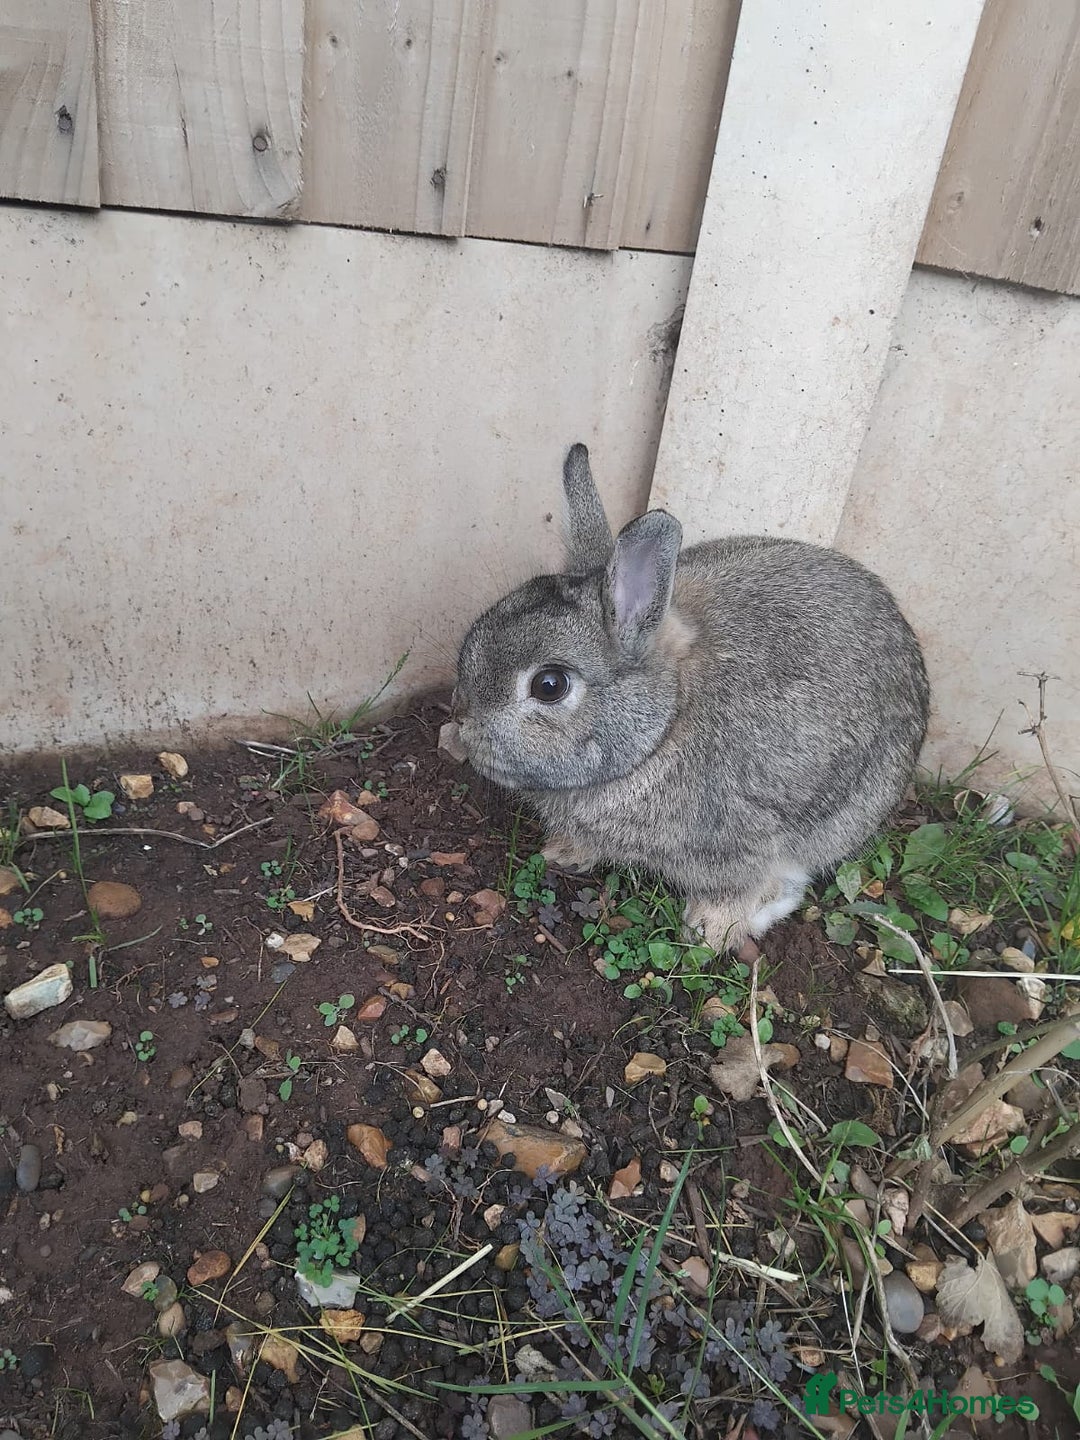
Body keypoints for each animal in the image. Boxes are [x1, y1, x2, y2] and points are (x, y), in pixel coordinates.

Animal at [453, 443, 929, 951]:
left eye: (549, 685)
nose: (461, 717)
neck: (665, 724)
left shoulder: (748, 843)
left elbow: (746, 888)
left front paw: (709, 932)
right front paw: (563, 852)